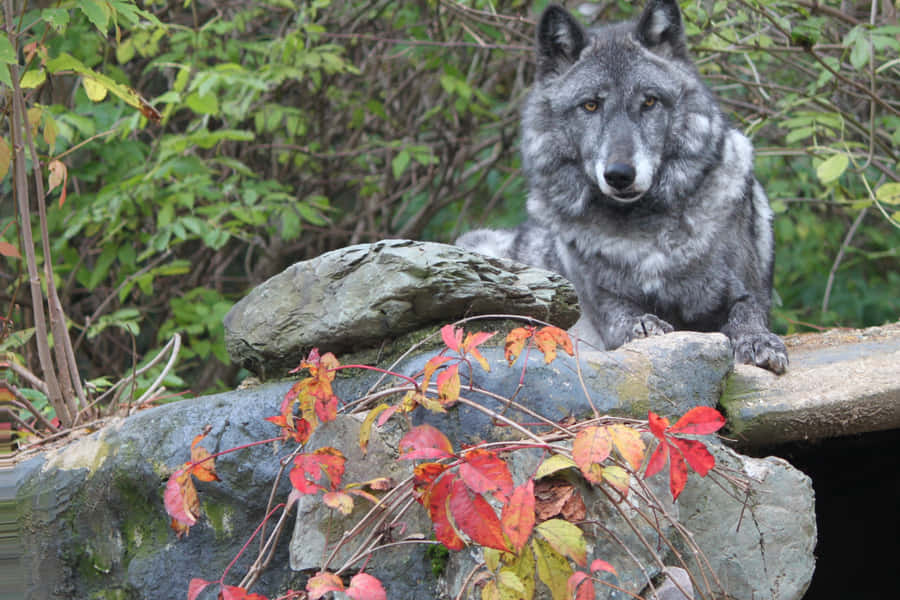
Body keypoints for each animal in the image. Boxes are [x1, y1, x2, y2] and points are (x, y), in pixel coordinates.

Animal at [457, 0, 788, 373]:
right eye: (590, 105)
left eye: (649, 102)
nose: (619, 174)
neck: (645, 230)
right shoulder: (605, 305)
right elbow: (623, 316)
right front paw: (643, 324)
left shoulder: (745, 290)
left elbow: (747, 312)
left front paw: (758, 341)